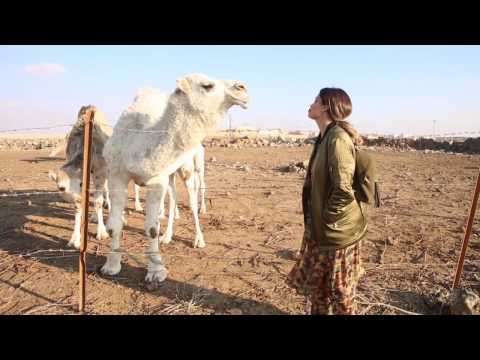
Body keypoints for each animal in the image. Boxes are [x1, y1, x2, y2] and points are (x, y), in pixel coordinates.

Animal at [102, 74, 249, 286]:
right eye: (207, 85)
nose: (242, 89)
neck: (140, 142)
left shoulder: (157, 179)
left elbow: (152, 228)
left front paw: (156, 271)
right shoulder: (116, 174)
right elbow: (114, 225)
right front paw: (111, 265)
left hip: (189, 168)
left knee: (192, 198)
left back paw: (198, 239)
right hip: (170, 174)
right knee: (173, 198)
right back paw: (167, 237)